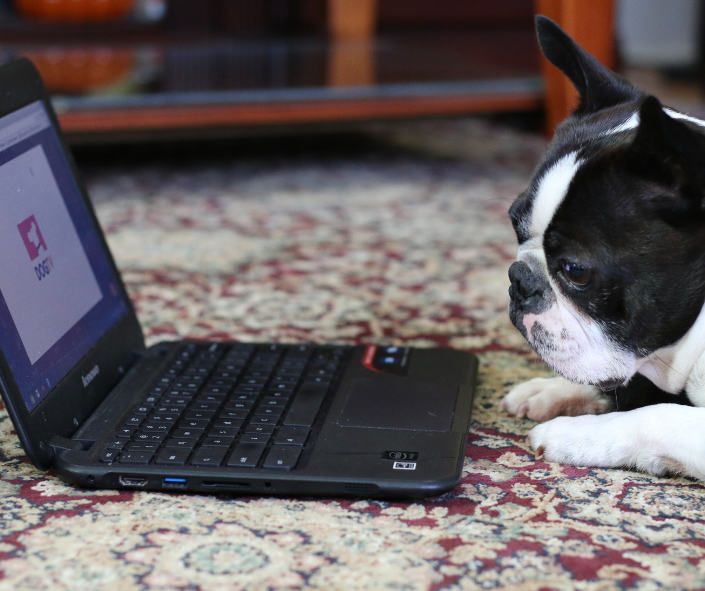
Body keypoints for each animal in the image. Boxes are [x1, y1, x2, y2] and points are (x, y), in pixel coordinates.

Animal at [498, 16, 704, 484]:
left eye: (576, 271)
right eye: (516, 224)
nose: (519, 280)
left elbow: (658, 415)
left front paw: (577, 433)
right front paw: (553, 390)